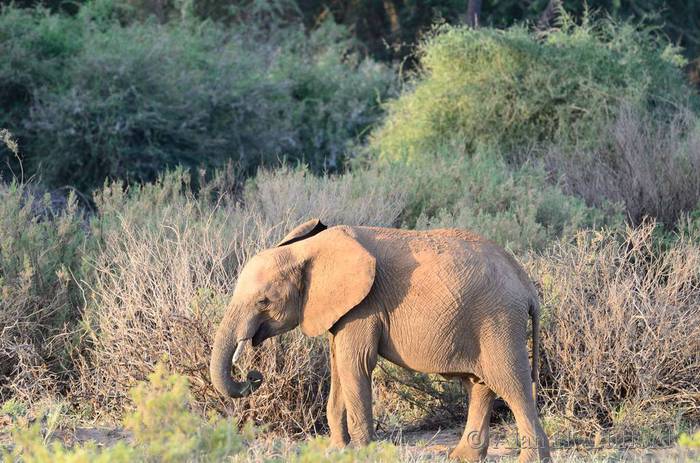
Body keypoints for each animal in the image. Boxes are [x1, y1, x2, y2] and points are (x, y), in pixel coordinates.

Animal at [210, 219, 551, 462]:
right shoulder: (342, 311)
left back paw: (529, 459)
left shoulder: (365, 305)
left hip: (498, 320)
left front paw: (362, 452)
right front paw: (336, 451)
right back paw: (462, 458)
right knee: (480, 384)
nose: (253, 375)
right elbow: (339, 367)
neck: (309, 250)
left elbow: (355, 365)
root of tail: (527, 285)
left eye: (263, 302)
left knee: (511, 383)